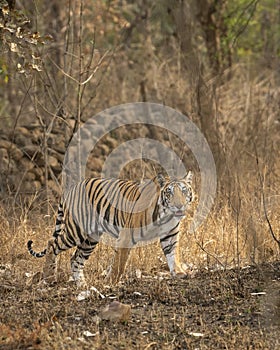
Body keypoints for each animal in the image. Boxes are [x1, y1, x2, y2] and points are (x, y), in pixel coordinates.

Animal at [27, 171, 192, 286]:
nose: (179, 205)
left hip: (90, 238)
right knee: (52, 244)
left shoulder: (170, 234)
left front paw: (178, 272)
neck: (166, 216)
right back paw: (49, 277)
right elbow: (119, 263)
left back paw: (82, 285)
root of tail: (72, 188)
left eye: (184, 191)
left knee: (75, 259)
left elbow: (173, 254)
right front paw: (110, 282)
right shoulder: (127, 235)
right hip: (76, 230)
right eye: (169, 192)